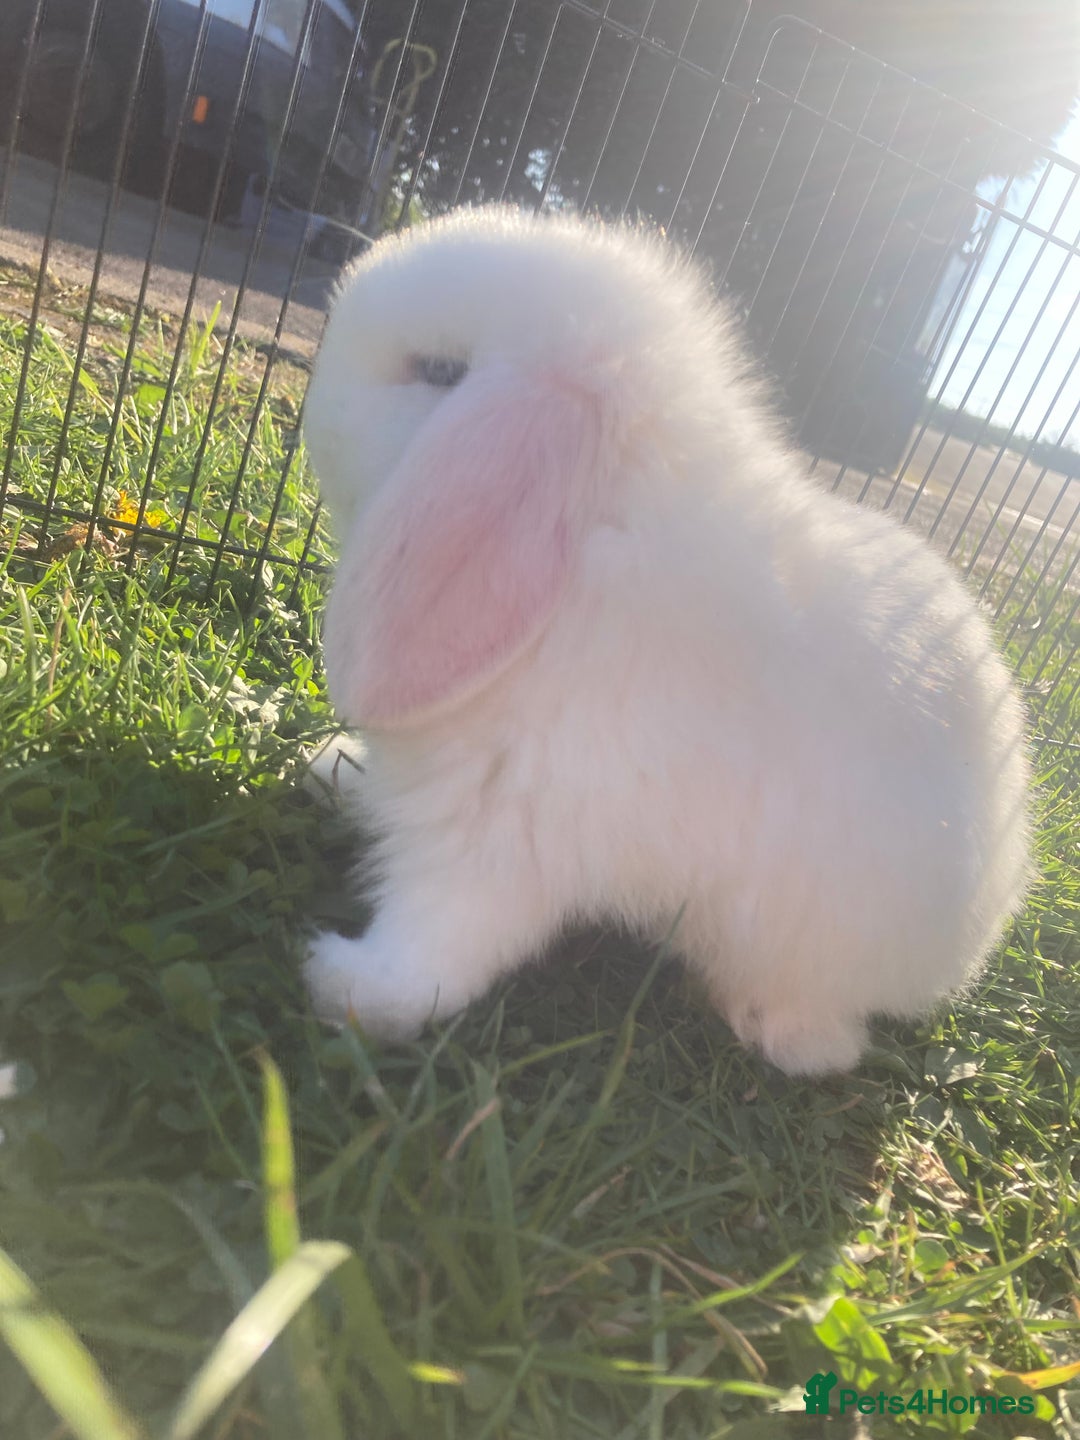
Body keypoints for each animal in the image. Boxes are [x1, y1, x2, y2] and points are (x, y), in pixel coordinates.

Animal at [300, 204, 1032, 1077]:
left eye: (440, 370)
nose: (315, 403)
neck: (593, 545)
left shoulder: (500, 834)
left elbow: (436, 941)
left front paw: (347, 985)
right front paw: (333, 770)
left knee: (825, 1033)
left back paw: (782, 1033)